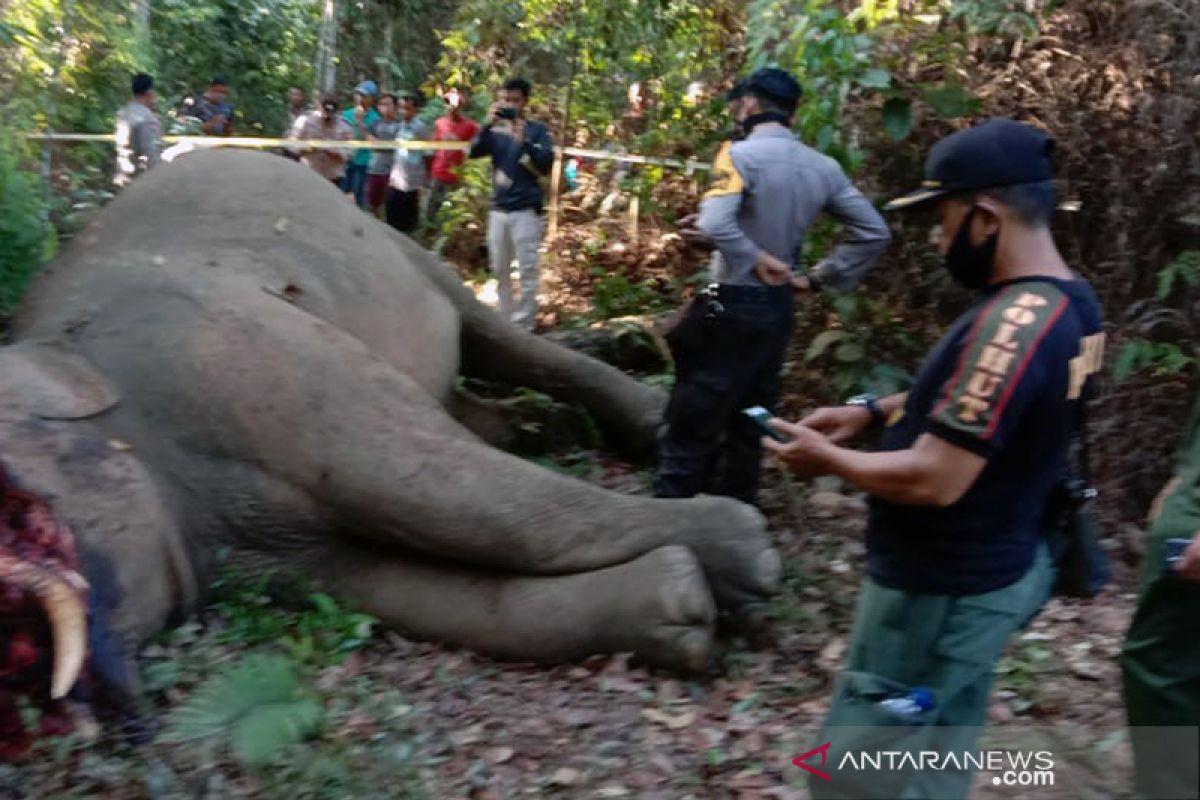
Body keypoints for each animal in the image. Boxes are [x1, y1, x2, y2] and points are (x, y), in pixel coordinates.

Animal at [0, 151, 782, 700]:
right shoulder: (238, 544)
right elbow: (407, 588)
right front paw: (683, 609)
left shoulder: (221, 347)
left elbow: (448, 488)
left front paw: (751, 557)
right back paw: (545, 430)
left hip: (392, 242)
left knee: (485, 333)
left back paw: (644, 424)